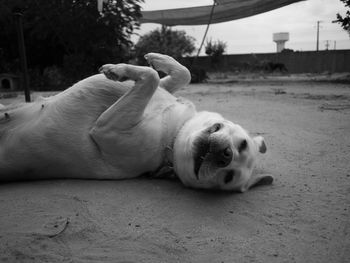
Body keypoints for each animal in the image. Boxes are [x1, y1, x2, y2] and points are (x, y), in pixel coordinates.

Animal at [0, 53, 274, 193]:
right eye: (241, 145)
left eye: (228, 178)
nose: (226, 155)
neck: (174, 134)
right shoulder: (163, 91)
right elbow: (181, 73)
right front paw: (157, 58)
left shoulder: (106, 130)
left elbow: (150, 76)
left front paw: (119, 69)